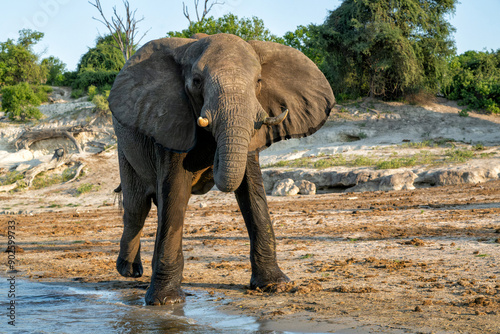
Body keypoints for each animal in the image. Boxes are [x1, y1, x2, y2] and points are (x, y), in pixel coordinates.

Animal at [108, 33, 336, 306]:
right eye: (197, 82)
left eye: (258, 82)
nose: (211, 154)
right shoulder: (170, 119)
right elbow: (175, 194)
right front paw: (166, 301)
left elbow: (252, 191)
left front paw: (276, 285)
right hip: (124, 150)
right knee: (136, 208)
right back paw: (130, 272)